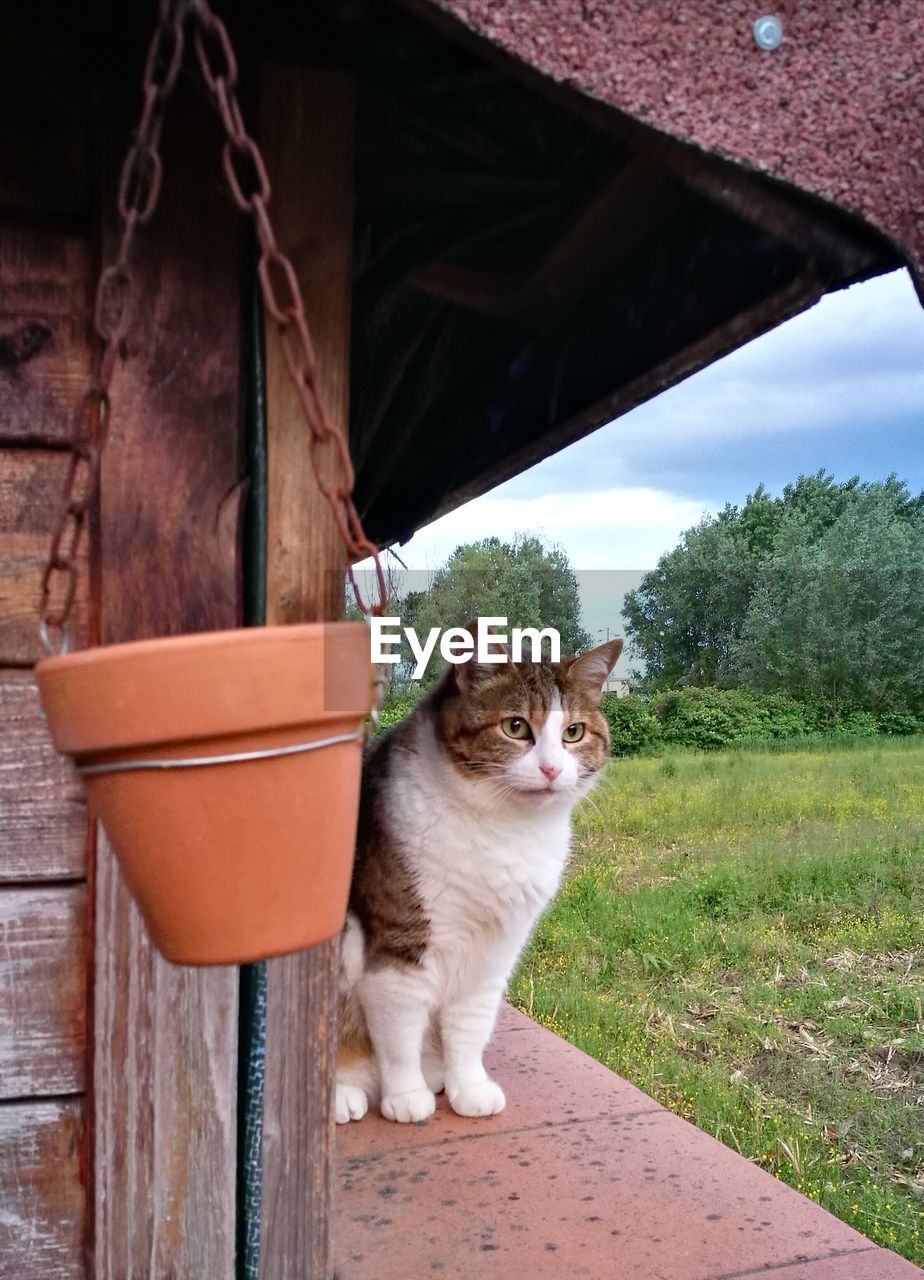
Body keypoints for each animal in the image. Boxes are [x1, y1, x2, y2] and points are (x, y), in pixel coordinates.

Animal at [330, 634, 619, 1126]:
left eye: (574, 733)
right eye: (516, 727)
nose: (551, 769)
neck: (503, 829)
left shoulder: (495, 951)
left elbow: (470, 1025)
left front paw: (468, 1088)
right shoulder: (401, 943)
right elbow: (400, 1029)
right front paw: (406, 1095)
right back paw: (345, 1093)